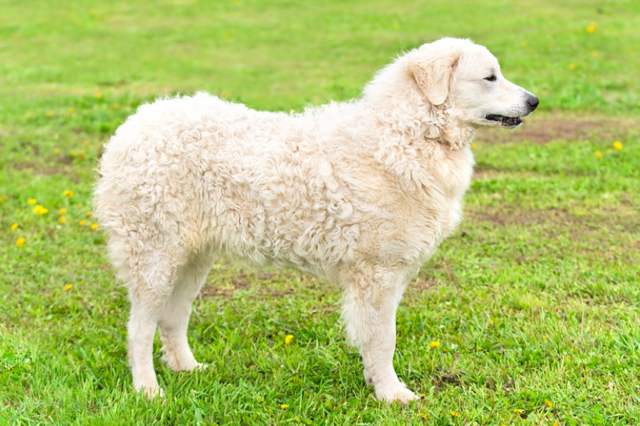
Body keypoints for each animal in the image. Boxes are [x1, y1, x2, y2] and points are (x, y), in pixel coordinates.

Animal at [92, 36, 536, 402]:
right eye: (490, 77)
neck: (408, 134)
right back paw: (148, 390)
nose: (534, 101)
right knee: (139, 329)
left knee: (172, 318)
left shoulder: (388, 276)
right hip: (155, 257)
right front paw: (392, 395)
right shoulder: (378, 273)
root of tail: (134, 125)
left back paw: (189, 369)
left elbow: (375, 339)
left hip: (193, 258)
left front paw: (376, 384)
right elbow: (384, 339)